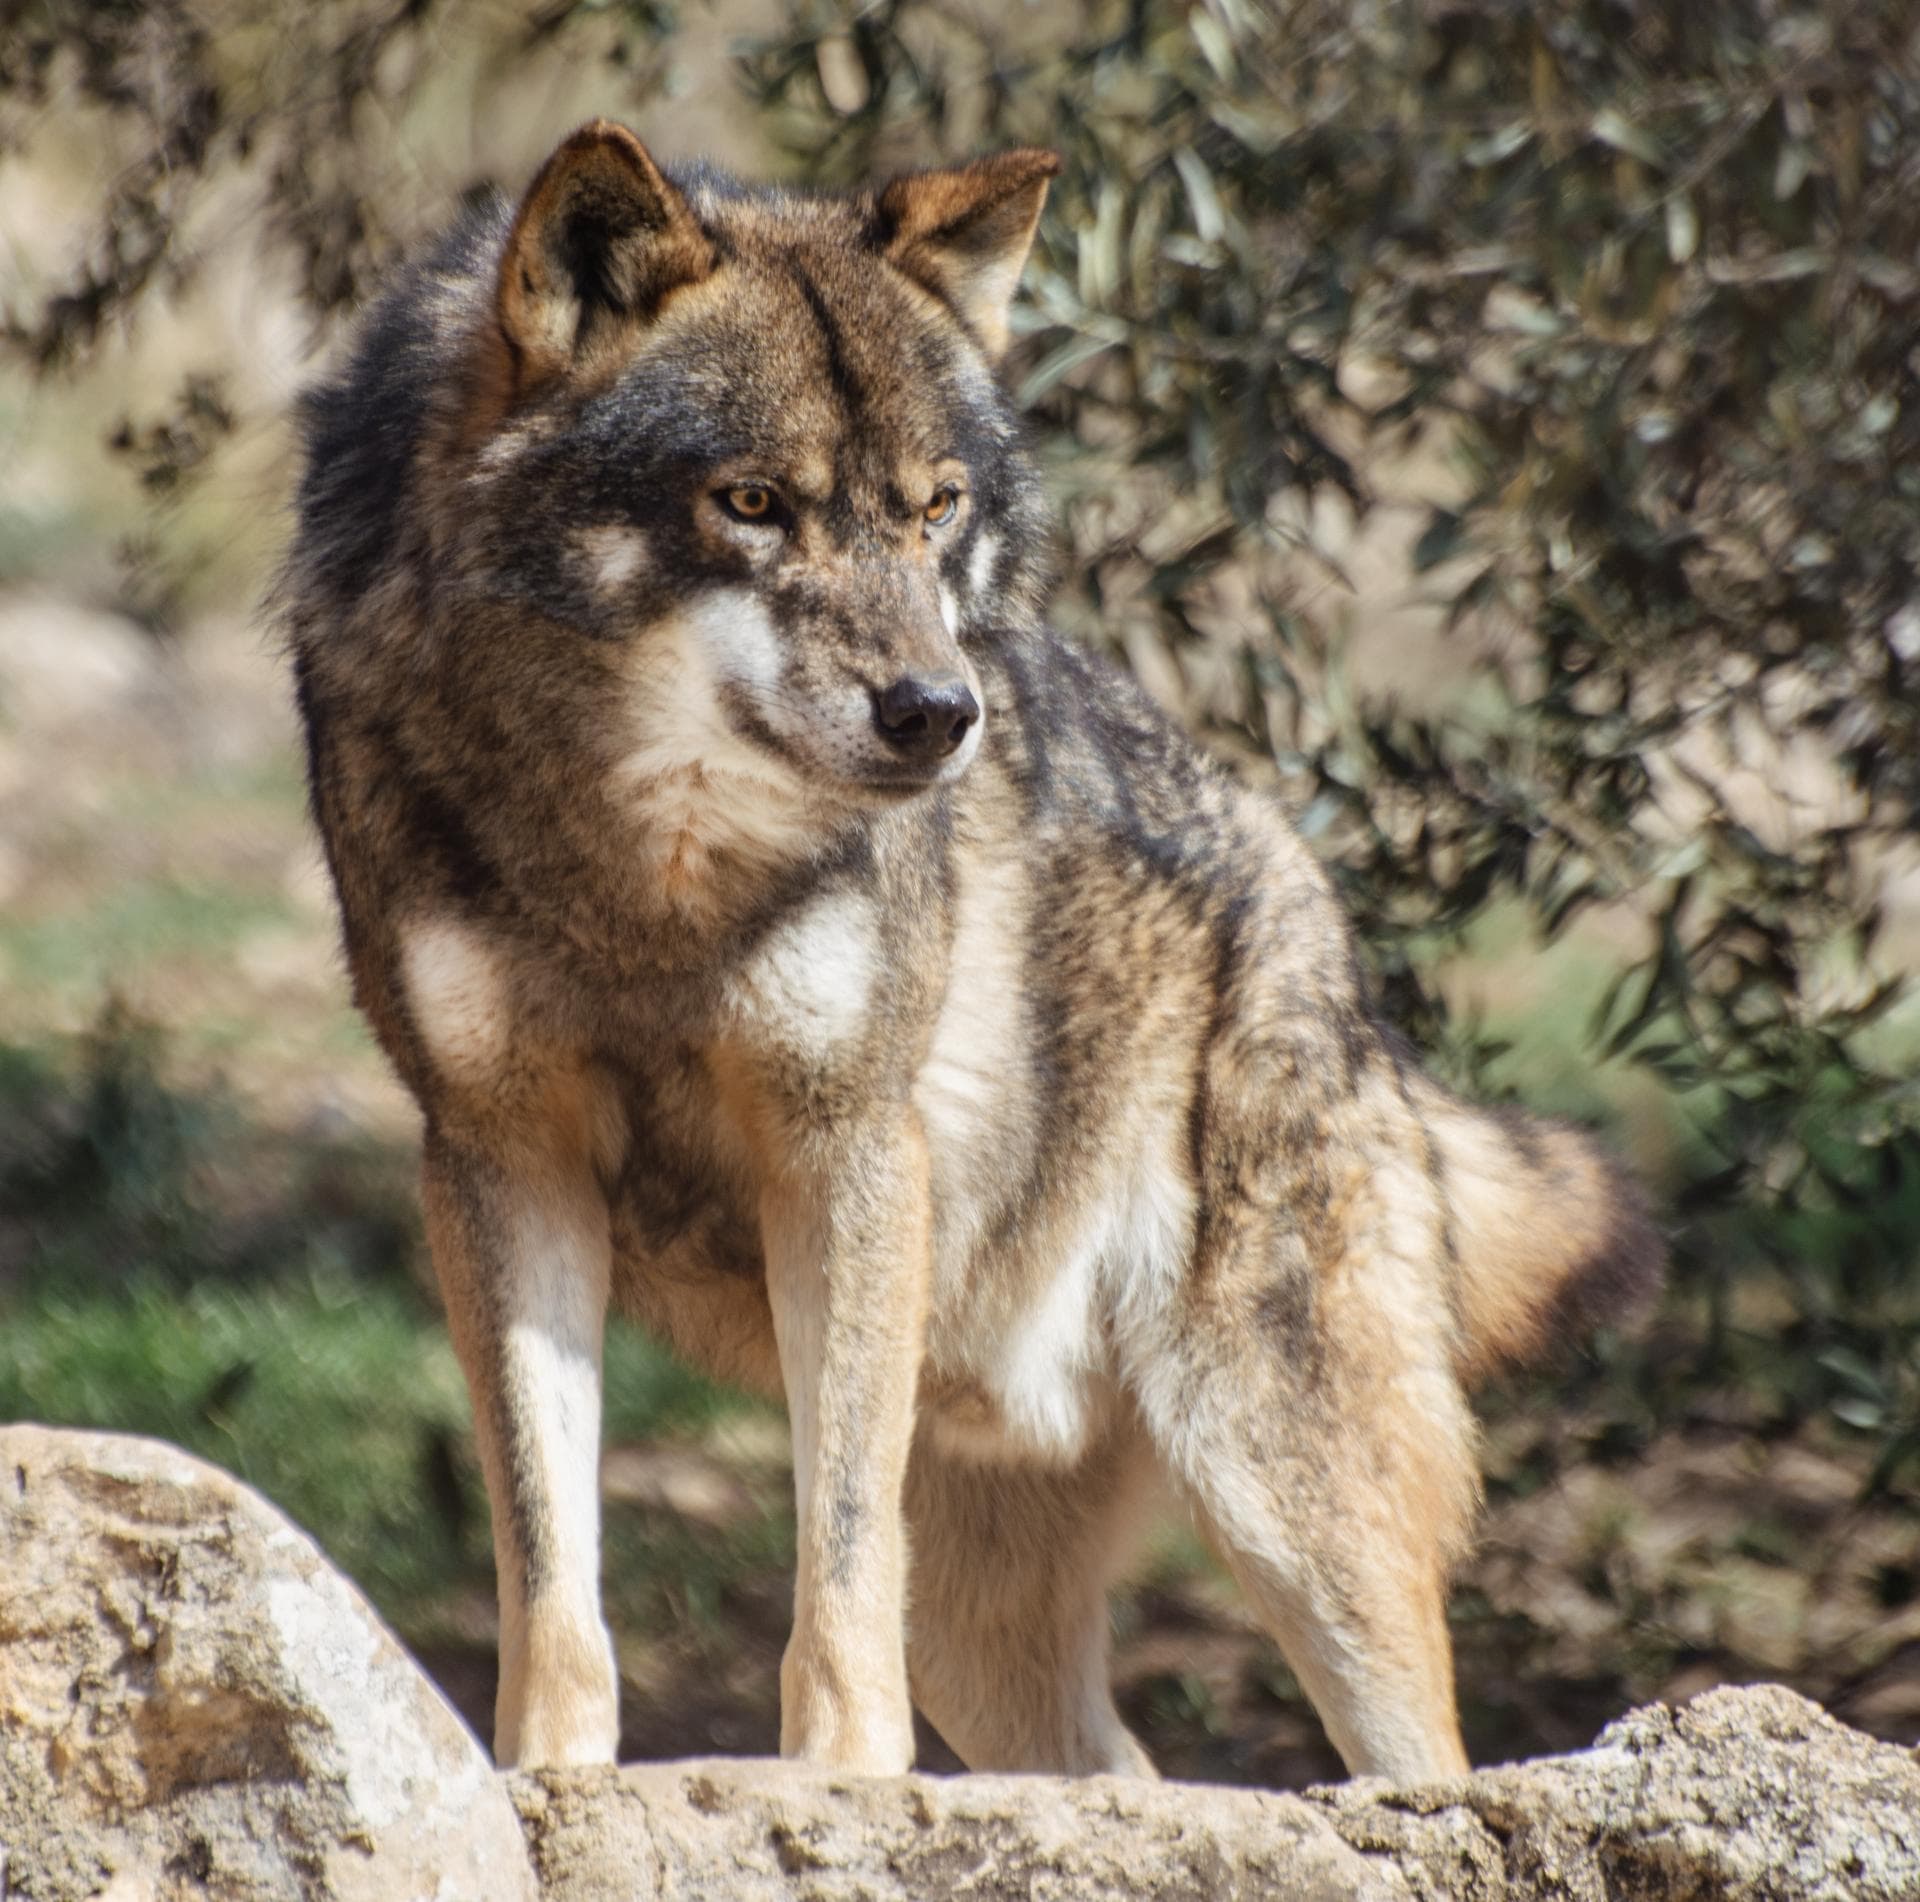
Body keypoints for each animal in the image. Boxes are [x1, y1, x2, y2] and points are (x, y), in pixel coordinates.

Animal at [283, 119, 1663, 1781]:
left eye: (935, 508)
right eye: (753, 502)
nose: (942, 714)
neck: (645, 872)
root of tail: (1314, 920)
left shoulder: (847, 1139)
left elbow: (835, 1556)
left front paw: (835, 1784)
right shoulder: (499, 1154)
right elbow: (551, 1562)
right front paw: (549, 1777)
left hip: (1285, 1493)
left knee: (1417, 1761)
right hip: (1000, 1624)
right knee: (1126, 1775)